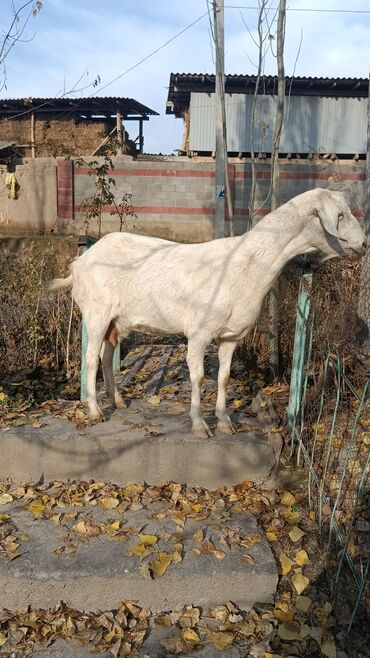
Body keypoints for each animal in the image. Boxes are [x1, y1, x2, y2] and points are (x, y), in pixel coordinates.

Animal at [49, 188, 368, 436]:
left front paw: (225, 422)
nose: (364, 244)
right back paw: (95, 411)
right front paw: (199, 425)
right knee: (90, 359)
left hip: (117, 321)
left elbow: (224, 377)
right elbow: (199, 377)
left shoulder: (231, 336)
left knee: (105, 356)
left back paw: (117, 401)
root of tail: (78, 264)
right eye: (340, 215)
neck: (245, 265)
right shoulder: (199, 333)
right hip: (96, 313)